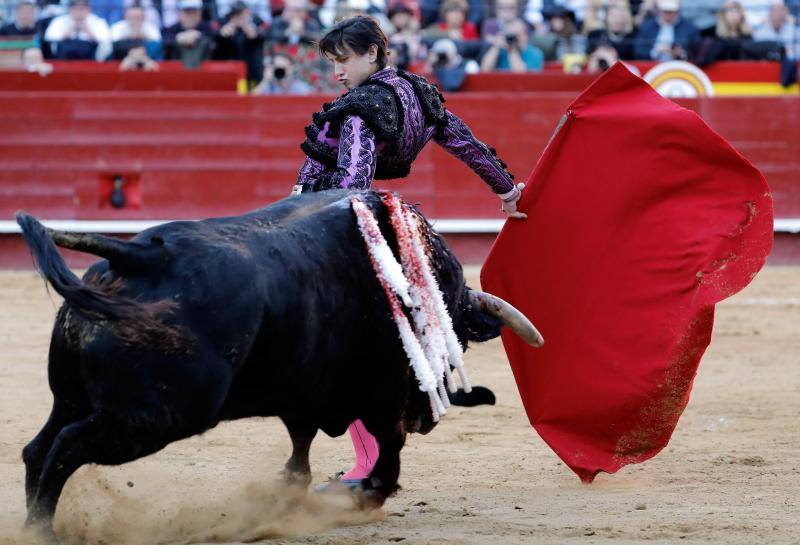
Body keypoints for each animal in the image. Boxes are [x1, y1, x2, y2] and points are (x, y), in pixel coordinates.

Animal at [14, 189, 536, 536]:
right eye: (456, 342)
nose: (426, 417)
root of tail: (136, 255)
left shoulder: (304, 392)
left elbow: (300, 448)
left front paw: (294, 491)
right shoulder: (382, 397)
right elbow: (387, 449)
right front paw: (366, 494)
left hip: (74, 397)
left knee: (39, 448)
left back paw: (33, 528)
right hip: (153, 417)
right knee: (67, 447)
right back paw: (46, 533)